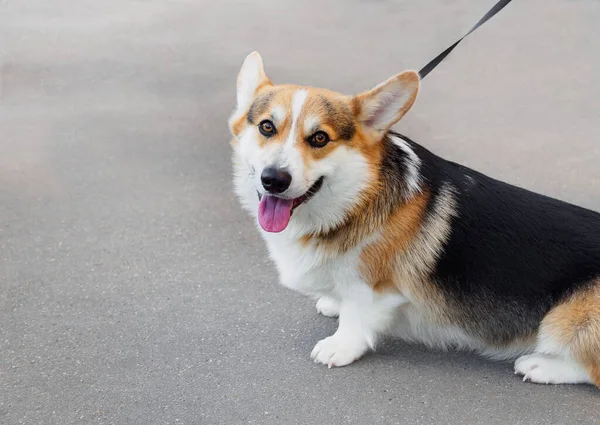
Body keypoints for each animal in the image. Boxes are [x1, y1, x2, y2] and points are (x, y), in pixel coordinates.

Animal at [229, 51, 600, 386]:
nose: (274, 179)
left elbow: (355, 315)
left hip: (565, 320)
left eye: (320, 138)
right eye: (267, 127)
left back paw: (539, 365)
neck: (356, 199)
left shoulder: (372, 286)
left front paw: (338, 347)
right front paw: (332, 302)